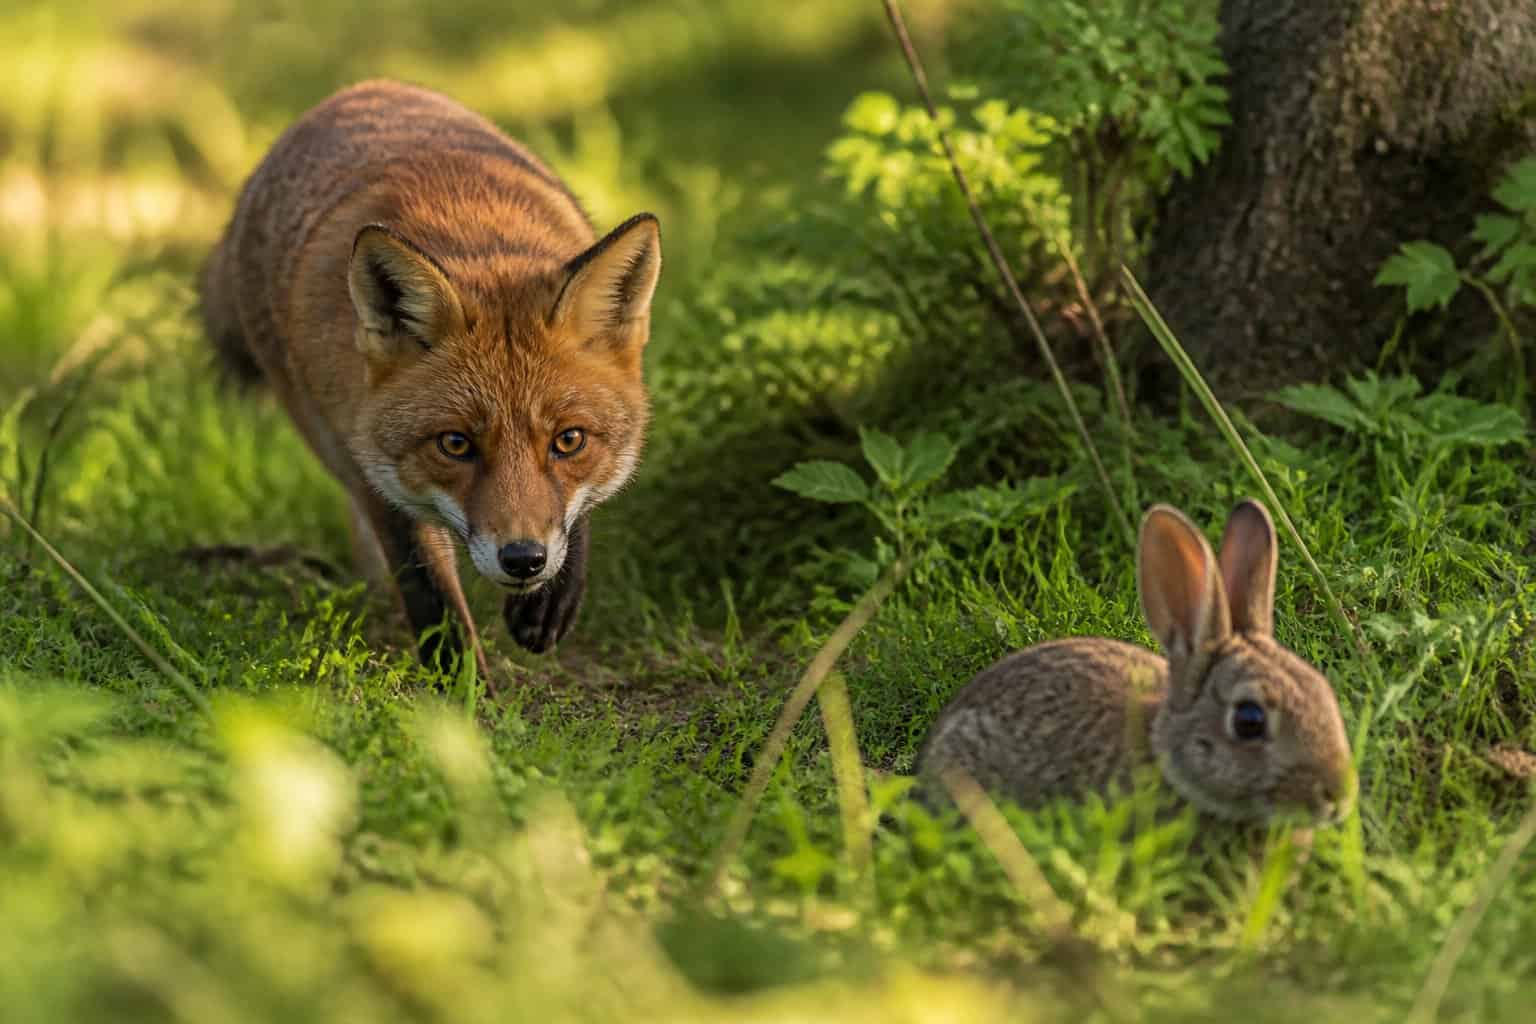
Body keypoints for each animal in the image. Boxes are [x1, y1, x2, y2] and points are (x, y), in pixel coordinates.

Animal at [198, 79, 662, 681]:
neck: (474, 233)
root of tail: (360, 89)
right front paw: (463, 691)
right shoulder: (373, 466)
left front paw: (551, 599)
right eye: (455, 444)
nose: (523, 560)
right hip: (318, 426)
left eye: (569, 440)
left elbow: (576, 512)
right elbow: (430, 591)